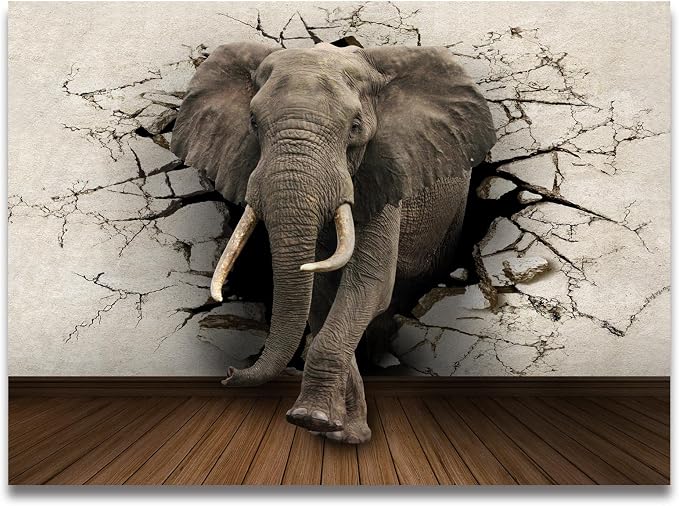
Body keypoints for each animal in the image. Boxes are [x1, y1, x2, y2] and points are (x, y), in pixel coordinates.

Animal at [170, 41, 496, 443]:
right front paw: (337, 431)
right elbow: (321, 294)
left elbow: (369, 285)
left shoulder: (383, 175)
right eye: (253, 123)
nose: (229, 374)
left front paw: (314, 420)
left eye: (355, 127)